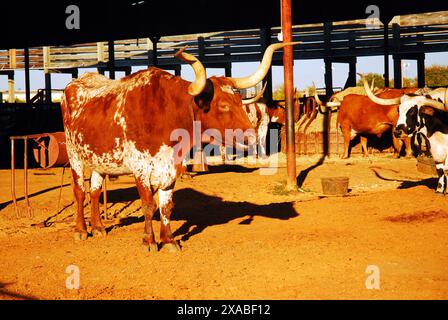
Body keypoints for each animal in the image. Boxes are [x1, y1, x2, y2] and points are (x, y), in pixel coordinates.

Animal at [61, 43, 296, 252]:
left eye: (240, 102)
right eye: (223, 105)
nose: (251, 137)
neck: (165, 113)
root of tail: (75, 83)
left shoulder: (171, 167)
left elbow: (166, 205)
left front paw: (168, 240)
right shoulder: (140, 167)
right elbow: (149, 204)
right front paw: (149, 241)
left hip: (98, 159)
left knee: (94, 191)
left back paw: (98, 227)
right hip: (75, 156)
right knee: (80, 191)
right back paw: (81, 230)